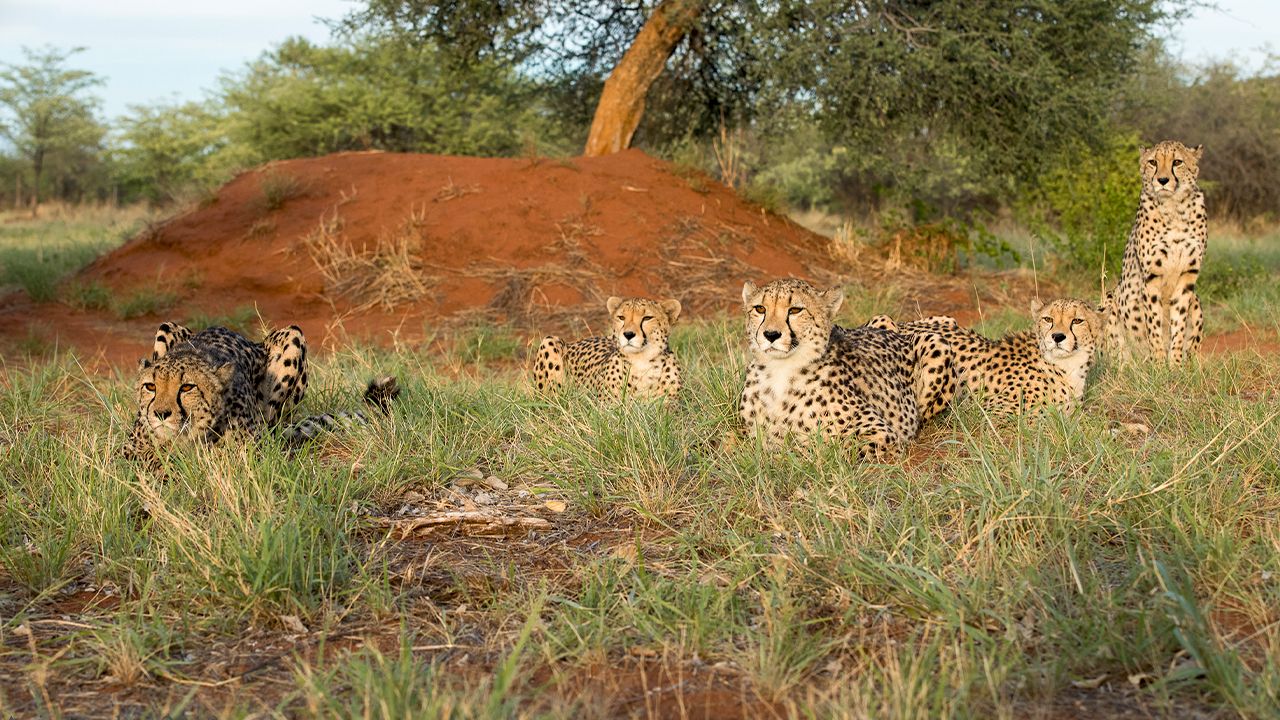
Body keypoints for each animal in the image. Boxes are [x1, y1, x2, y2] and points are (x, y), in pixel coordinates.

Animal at [128, 322, 399, 456]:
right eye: (150, 386)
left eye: (187, 387)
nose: (161, 414)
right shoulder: (132, 450)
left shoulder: (249, 451)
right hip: (167, 326)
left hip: (292, 336)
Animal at [737, 278, 957, 456]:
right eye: (760, 309)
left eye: (795, 310)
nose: (771, 334)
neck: (780, 370)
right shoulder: (751, 433)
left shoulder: (881, 433)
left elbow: (829, 449)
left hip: (937, 344)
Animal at [865, 294, 1105, 412]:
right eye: (1048, 319)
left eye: (1077, 321)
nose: (1057, 337)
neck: (1068, 367)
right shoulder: (995, 413)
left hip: (947, 320)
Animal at [1105, 139, 1203, 363]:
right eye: (1152, 162)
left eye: (1177, 162)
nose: (1163, 180)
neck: (1174, 208)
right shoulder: (1151, 276)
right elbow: (1154, 325)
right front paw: (1158, 364)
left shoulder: (1188, 275)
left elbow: (1178, 324)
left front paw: (1175, 364)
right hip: (1110, 297)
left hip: (1197, 302)